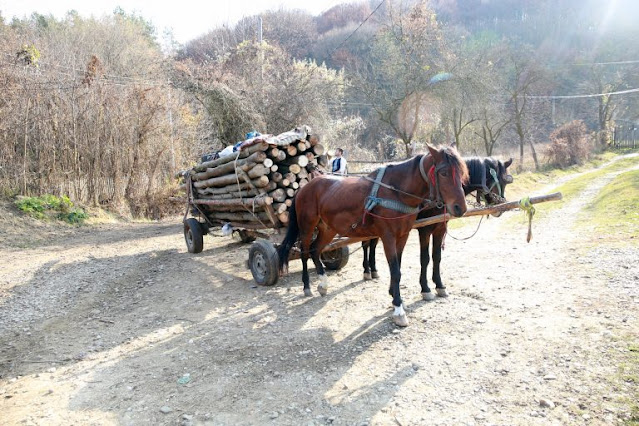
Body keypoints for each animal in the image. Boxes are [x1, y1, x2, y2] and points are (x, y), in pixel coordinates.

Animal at [276, 145, 470, 328]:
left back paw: (323, 284)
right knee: (305, 252)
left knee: (316, 250)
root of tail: (305, 187)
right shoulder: (389, 236)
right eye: (443, 173)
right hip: (307, 226)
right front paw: (398, 309)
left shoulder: (403, 235)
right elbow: (396, 270)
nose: (460, 207)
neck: (396, 192)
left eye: (462, 172)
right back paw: (307, 286)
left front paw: (394, 296)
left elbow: (399, 266)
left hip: (328, 228)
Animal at [360, 156, 516, 300]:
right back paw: (367, 270)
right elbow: (425, 258)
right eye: (490, 178)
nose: (500, 207)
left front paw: (439, 286)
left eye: (505, 181)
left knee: (372, 245)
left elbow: (437, 257)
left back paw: (373, 270)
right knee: (366, 245)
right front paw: (425, 289)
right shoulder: (425, 230)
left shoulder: (440, 229)